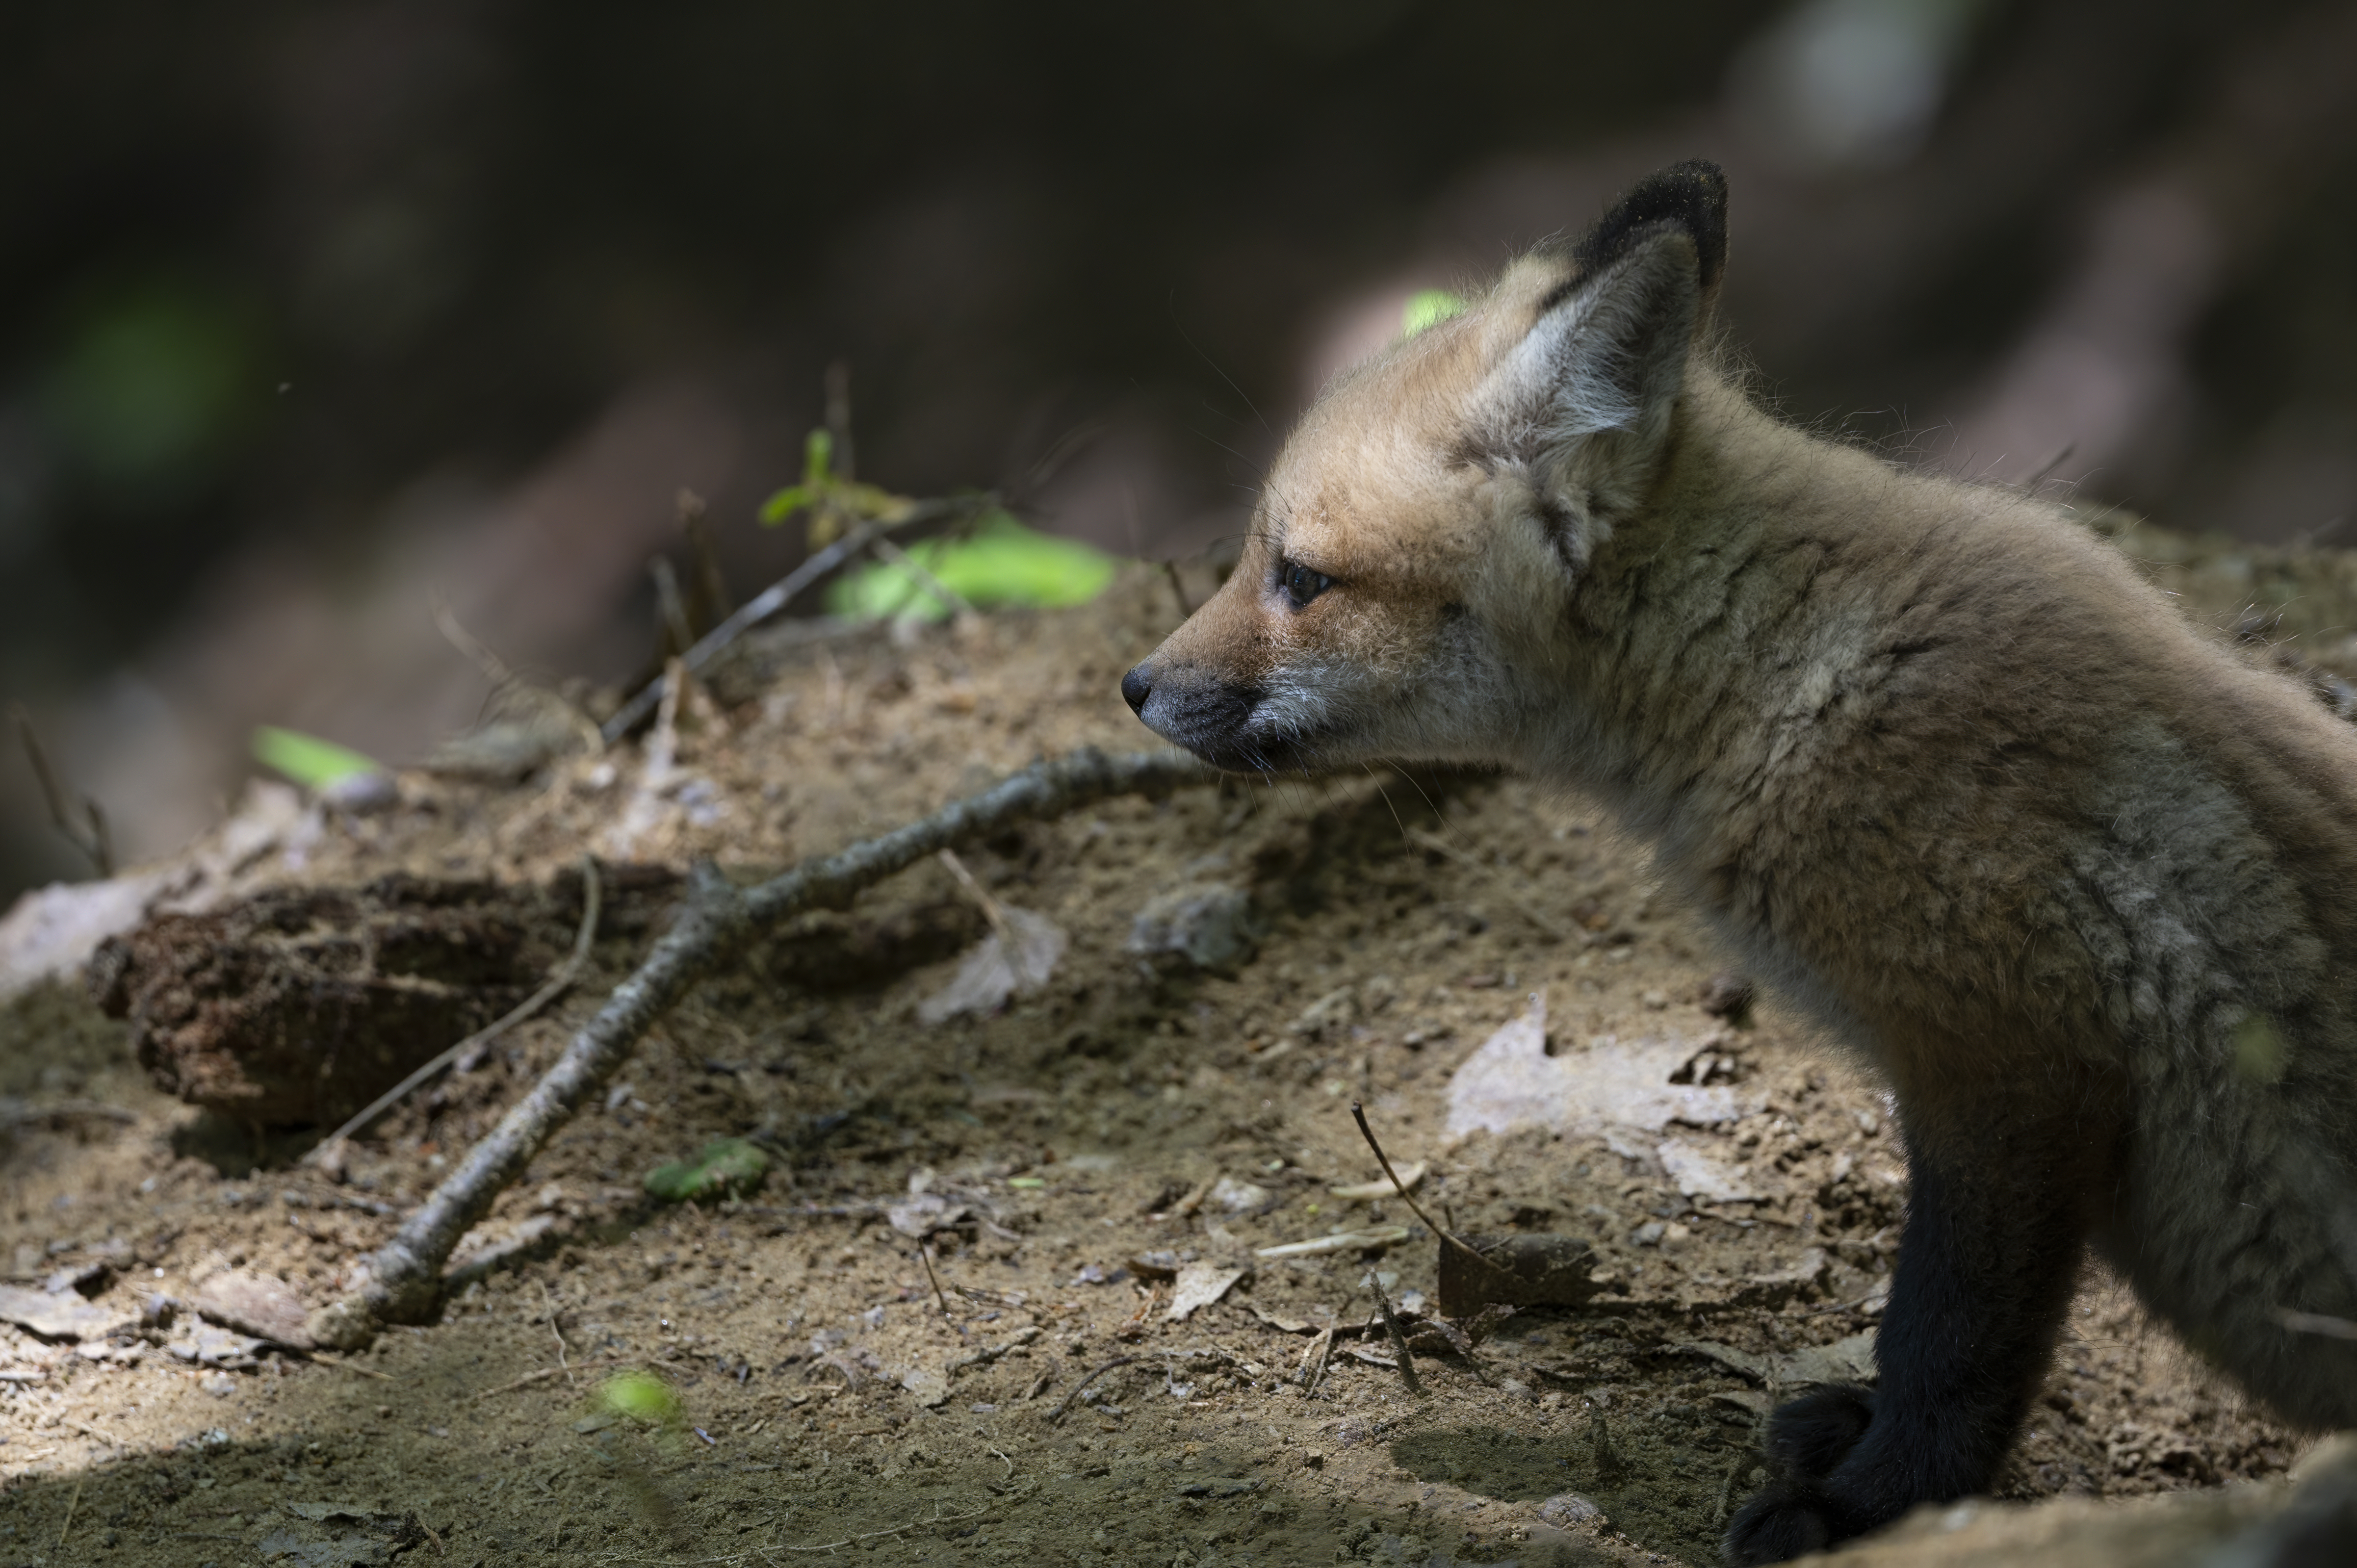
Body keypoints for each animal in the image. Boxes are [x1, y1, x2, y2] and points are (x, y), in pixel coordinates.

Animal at [1119, 160, 2357, 1562]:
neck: (1791, 673)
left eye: (1301, 576)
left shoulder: (2006, 1067)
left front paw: (1871, 1502)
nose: (1134, 687)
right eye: (1257, 558)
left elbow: (1945, 1337)